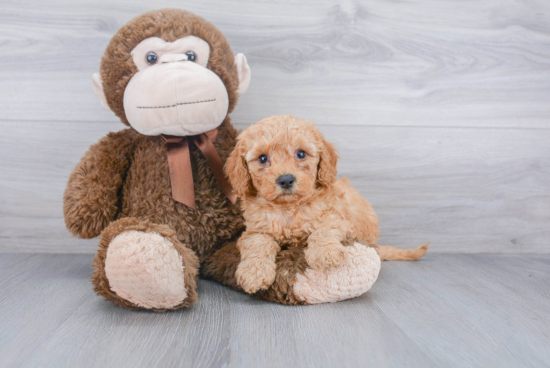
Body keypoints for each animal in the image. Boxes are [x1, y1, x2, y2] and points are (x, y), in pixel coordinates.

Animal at [225, 115, 432, 294]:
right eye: (262, 158)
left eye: (301, 154)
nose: (285, 180)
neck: (289, 207)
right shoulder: (255, 230)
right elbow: (257, 244)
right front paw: (253, 273)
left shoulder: (338, 219)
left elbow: (323, 230)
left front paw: (325, 253)